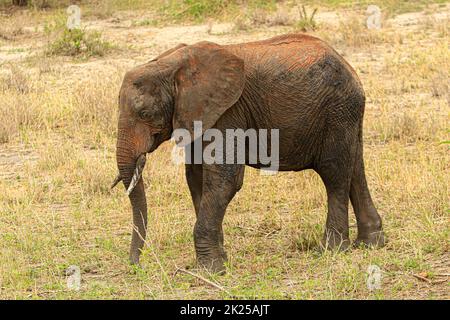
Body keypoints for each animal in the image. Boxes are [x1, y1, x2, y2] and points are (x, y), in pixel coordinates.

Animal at [111, 33, 384, 272]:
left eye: (145, 113)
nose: (137, 265)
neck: (171, 65)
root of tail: (350, 69)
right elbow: (196, 179)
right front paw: (219, 260)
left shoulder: (227, 112)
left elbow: (224, 179)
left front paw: (210, 271)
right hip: (344, 113)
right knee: (354, 169)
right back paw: (370, 243)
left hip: (336, 110)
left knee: (334, 173)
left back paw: (331, 249)